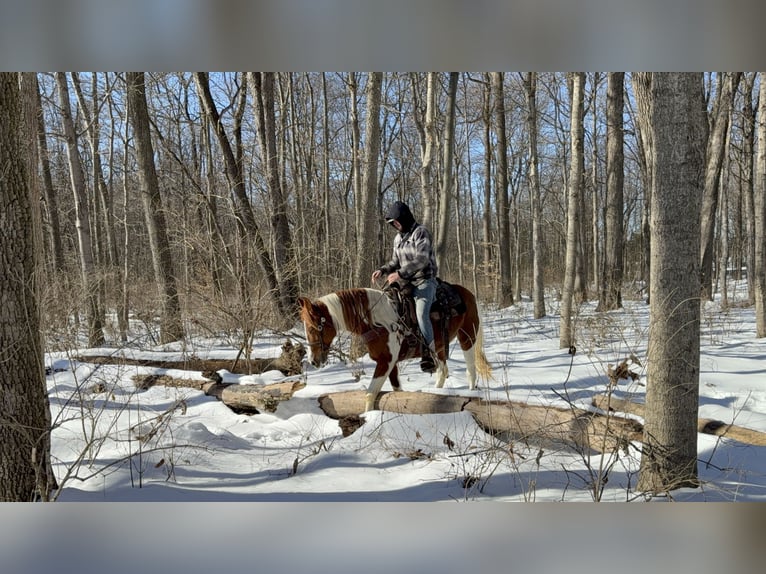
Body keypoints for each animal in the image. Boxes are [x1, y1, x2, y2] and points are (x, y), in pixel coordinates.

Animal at [300, 284, 492, 414]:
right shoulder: (390, 364)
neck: (377, 321)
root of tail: (469, 294)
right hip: (439, 347)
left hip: (467, 338)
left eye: (312, 328)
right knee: (443, 371)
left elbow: (370, 394)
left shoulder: (385, 362)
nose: (313, 361)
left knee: (471, 370)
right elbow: (397, 391)